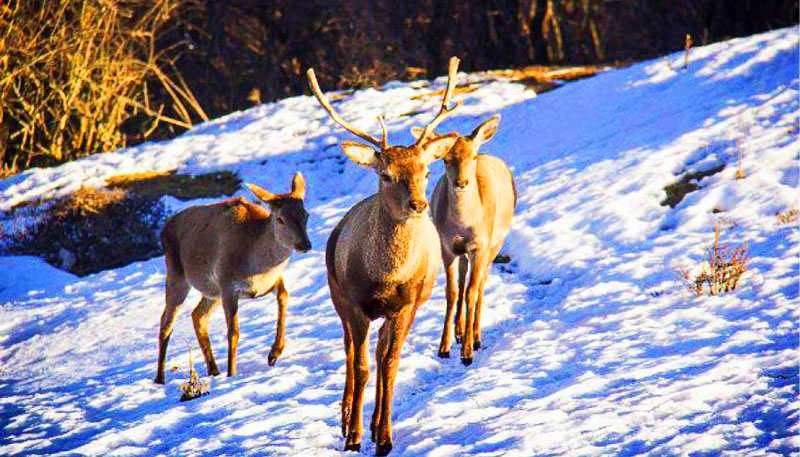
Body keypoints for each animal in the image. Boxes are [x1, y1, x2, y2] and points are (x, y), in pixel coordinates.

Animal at [155, 173, 310, 382]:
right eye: (280, 219)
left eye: (306, 215)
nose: (305, 244)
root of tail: (164, 228)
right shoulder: (228, 285)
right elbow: (233, 332)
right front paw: (232, 374)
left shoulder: (269, 283)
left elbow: (284, 296)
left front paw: (274, 353)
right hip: (176, 274)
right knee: (166, 322)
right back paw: (159, 379)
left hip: (212, 291)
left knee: (198, 315)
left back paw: (213, 370)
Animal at [308, 58, 462, 454]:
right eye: (386, 175)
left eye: (427, 170)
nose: (419, 205)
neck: (386, 277)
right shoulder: (355, 302)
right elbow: (361, 366)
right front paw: (354, 437)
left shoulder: (407, 304)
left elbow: (390, 364)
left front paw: (385, 438)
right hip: (336, 293)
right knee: (350, 352)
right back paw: (347, 418)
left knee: (378, 353)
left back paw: (376, 425)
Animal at [412, 115, 520, 366]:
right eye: (445, 159)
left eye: (472, 156)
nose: (461, 182)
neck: (463, 225)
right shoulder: (446, 246)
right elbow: (452, 291)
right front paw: (444, 347)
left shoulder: (481, 245)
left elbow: (472, 290)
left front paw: (468, 353)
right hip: (464, 251)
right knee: (463, 281)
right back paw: (460, 331)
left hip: (496, 242)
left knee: (480, 284)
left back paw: (476, 336)